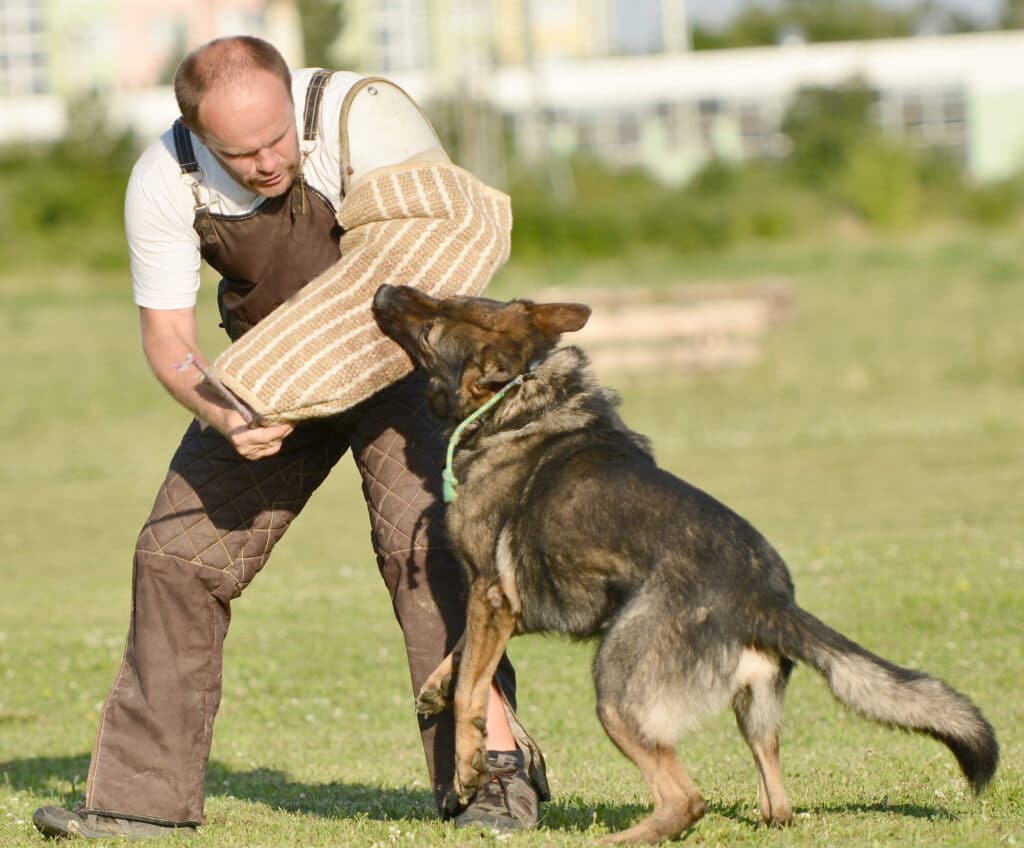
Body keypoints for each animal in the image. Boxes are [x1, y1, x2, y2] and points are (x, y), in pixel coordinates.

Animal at [372, 282, 995, 839]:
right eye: (443, 297)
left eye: (431, 325)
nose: (382, 290)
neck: (520, 401)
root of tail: (762, 595)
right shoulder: (501, 604)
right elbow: (461, 658)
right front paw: (434, 688)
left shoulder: (493, 594)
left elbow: (471, 690)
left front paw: (467, 767)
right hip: (753, 713)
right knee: (777, 806)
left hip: (617, 692)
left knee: (685, 801)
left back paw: (616, 840)